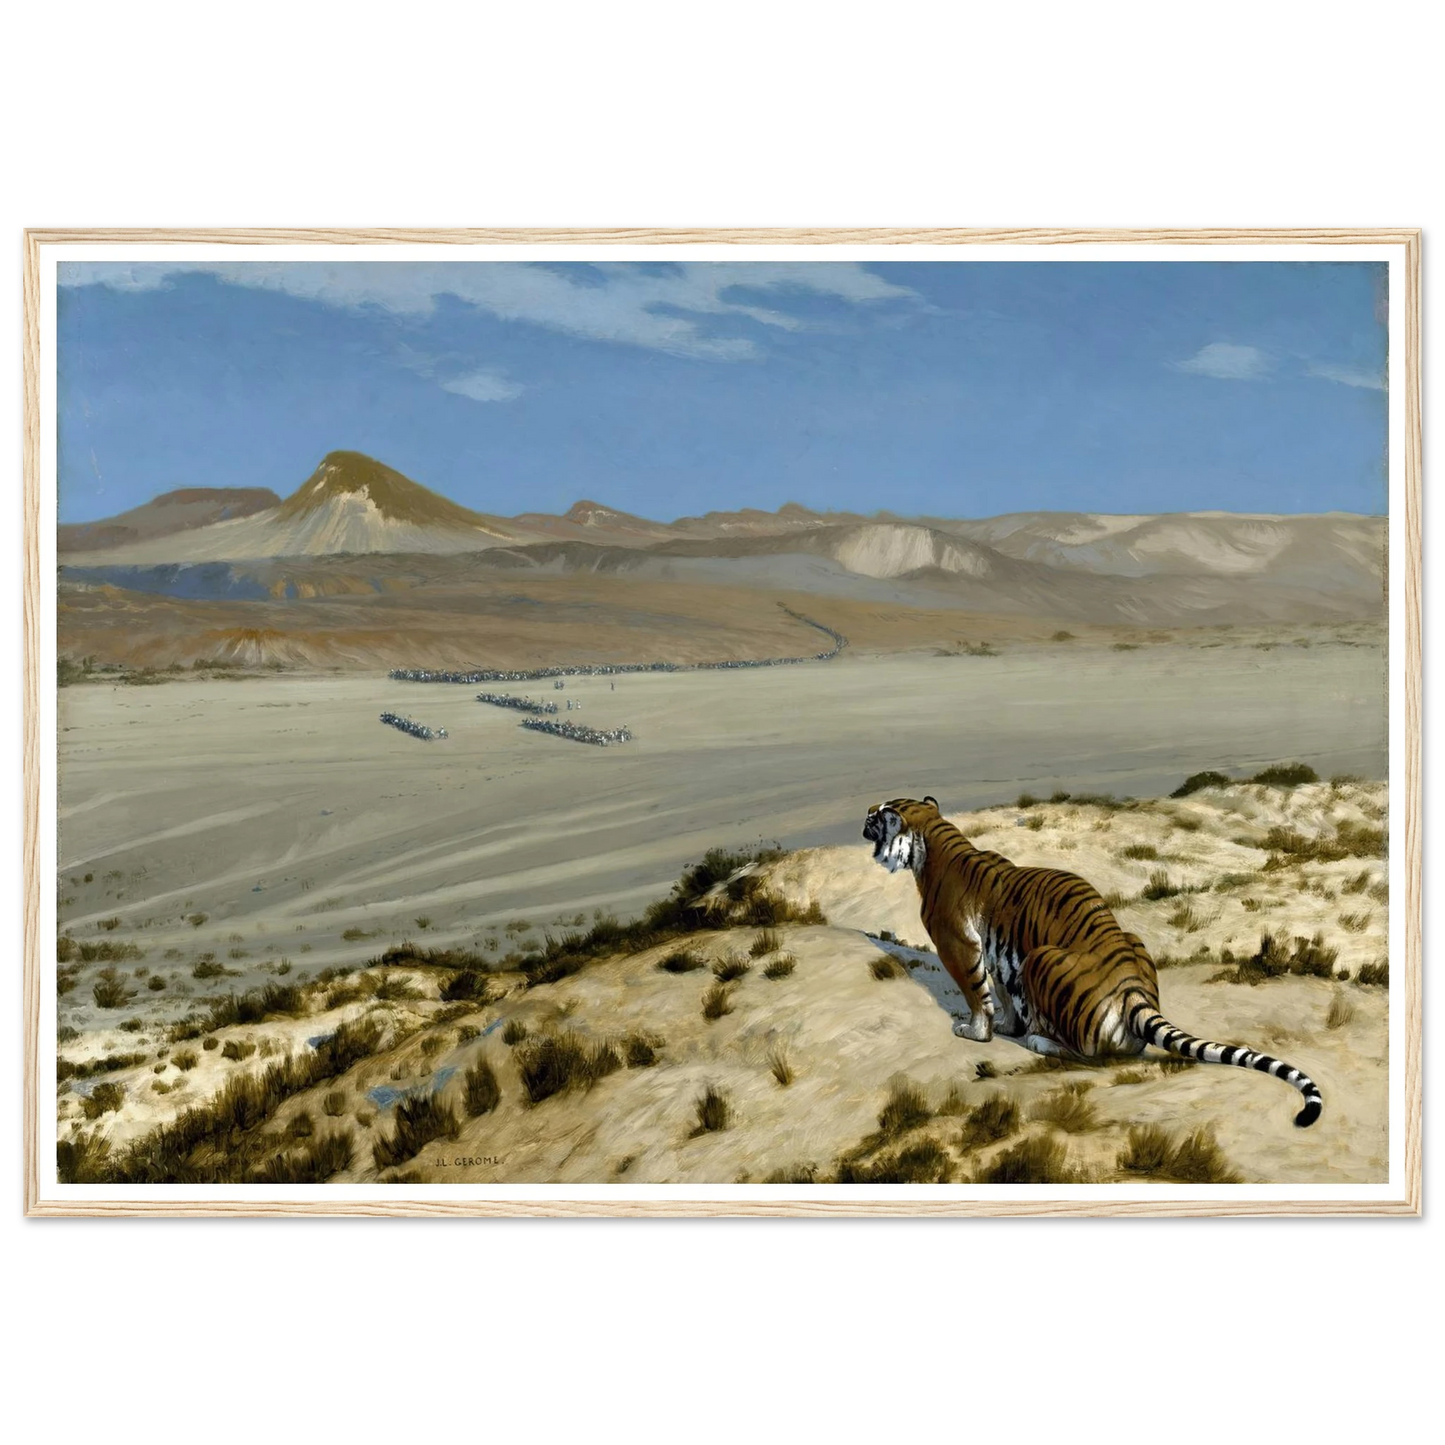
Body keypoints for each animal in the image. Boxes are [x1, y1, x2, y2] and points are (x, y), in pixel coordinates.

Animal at [862, 796, 1323, 1127]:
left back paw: (1039, 1040)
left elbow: (978, 994)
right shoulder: (997, 953)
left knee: (1088, 1056)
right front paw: (1008, 1025)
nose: (862, 819)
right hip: (1121, 943)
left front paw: (975, 1032)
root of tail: (1133, 990)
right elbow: (1003, 992)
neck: (933, 842)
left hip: (1040, 958)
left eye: (877, 815)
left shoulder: (957, 944)